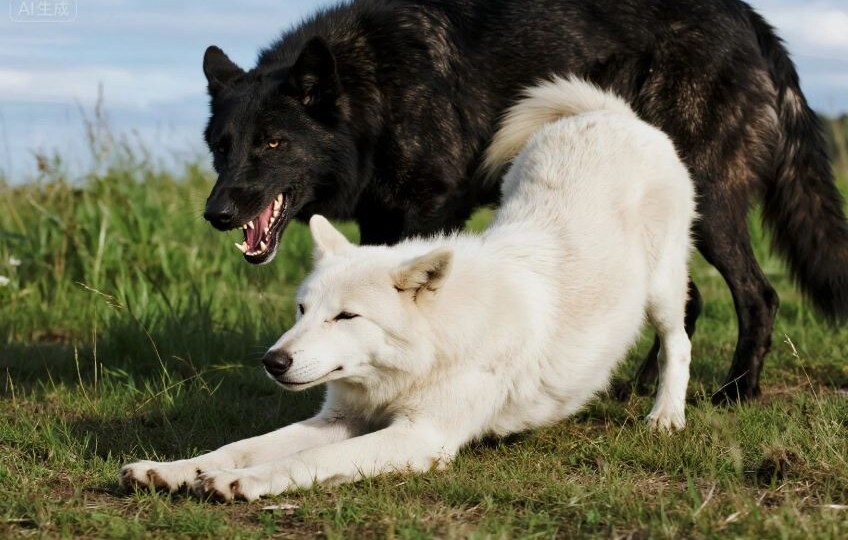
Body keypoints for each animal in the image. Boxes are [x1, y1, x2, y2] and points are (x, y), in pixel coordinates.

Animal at [122, 78, 697, 501]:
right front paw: (175, 470)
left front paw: (241, 482)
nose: (273, 362)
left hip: (663, 292)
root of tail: (612, 116)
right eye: (303, 310)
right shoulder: (340, 419)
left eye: (346, 317)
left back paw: (666, 417)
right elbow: (243, 445)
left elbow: (307, 458)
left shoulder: (419, 436)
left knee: (679, 342)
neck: (423, 355)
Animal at [200, 0, 848, 403]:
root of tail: (751, 20)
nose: (216, 215)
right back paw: (639, 386)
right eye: (221, 147)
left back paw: (736, 392)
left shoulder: (426, 212)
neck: (376, 87)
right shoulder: (380, 219)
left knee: (757, 295)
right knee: (689, 304)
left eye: (273, 143)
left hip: (710, 210)